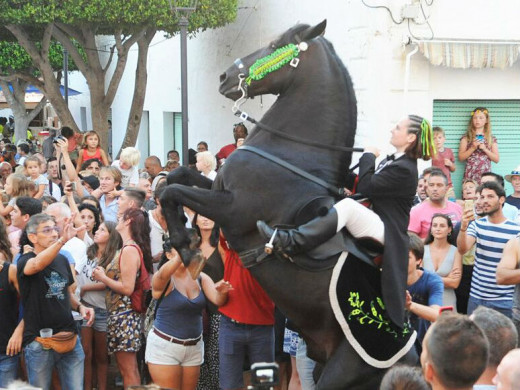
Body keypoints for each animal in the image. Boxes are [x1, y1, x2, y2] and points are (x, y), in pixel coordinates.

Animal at [162, 22, 414, 390]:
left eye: (273, 45)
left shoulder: (232, 209)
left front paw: (187, 246)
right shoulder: (218, 188)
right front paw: (186, 237)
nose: (225, 77)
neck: (292, 154)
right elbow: (174, 177)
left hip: (342, 372)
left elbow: (172, 191)